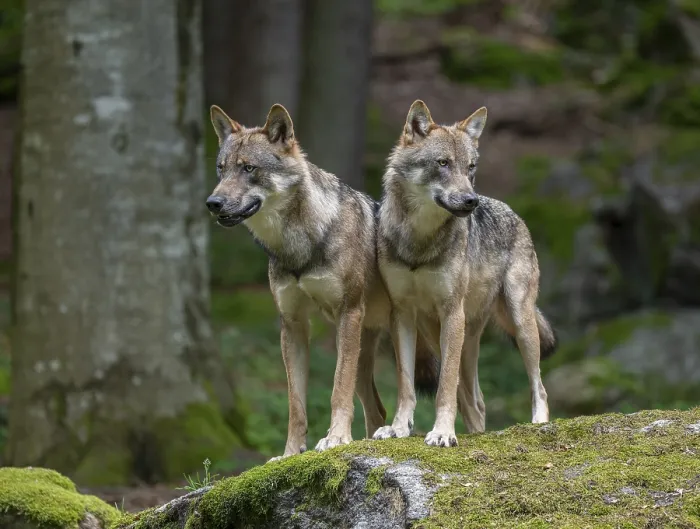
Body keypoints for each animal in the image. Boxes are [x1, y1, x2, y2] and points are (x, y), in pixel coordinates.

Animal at [205, 103, 439, 459]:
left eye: (248, 168)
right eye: (221, 169)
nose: (212, 203)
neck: (300, 242)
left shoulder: (348, 313)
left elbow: (337, 390)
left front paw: (336, 438)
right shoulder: (293, 326)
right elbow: (295, 405)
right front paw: (291, 453)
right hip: (365, 353)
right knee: (378, 410)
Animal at [373, 100, 557, 448]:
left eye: (470, 167)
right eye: (443, 163)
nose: (472, 200)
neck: (420, 240)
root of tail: (515, 214)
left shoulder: (451, 311)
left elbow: (444, 387)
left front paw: (443, 432)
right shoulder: (401, 315)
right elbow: (406, 385)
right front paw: (398, 428)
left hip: (518, 322)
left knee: (538, 386)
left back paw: (538, 423)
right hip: (444, 336)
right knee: (476, 401)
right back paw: (476, 433)